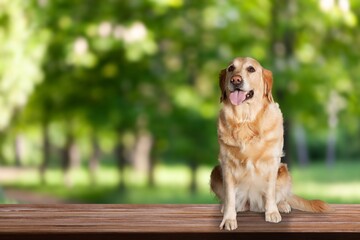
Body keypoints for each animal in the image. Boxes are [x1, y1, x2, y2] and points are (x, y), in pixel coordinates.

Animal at [211, 56, 332, 231]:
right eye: (230, 68)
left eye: (251, 69)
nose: (236, 80)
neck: (246, 120)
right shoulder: (227, 163)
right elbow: (230, 196)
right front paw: (228, 219)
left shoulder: (272, 162)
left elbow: (270, 192)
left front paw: (272, 213)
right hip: (215, 172)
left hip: (284, 171)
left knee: (280, 196)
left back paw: (282, 205)